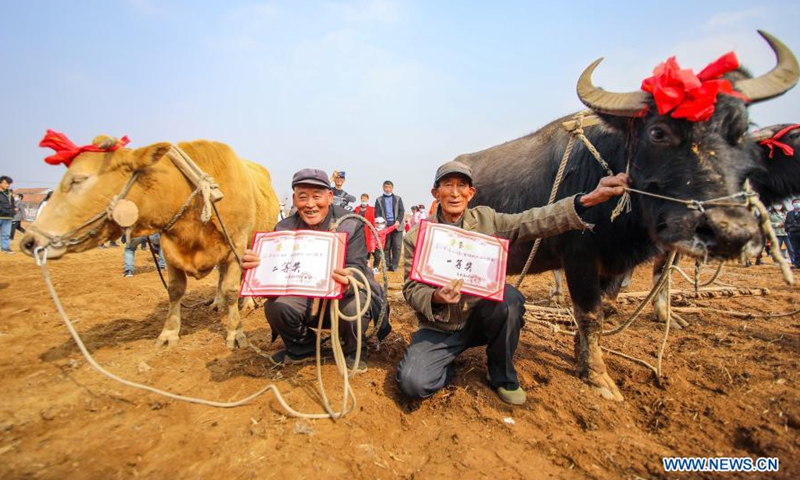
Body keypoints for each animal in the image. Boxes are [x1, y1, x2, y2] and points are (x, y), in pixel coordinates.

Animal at [456, 31, 800, 402]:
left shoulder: (619, 262)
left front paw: (582, 354)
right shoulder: (579, 258)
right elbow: (590, 313)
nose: (729, 232)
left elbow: (607, 306)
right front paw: (597, 375)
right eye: (658, 132)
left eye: (741, 129)